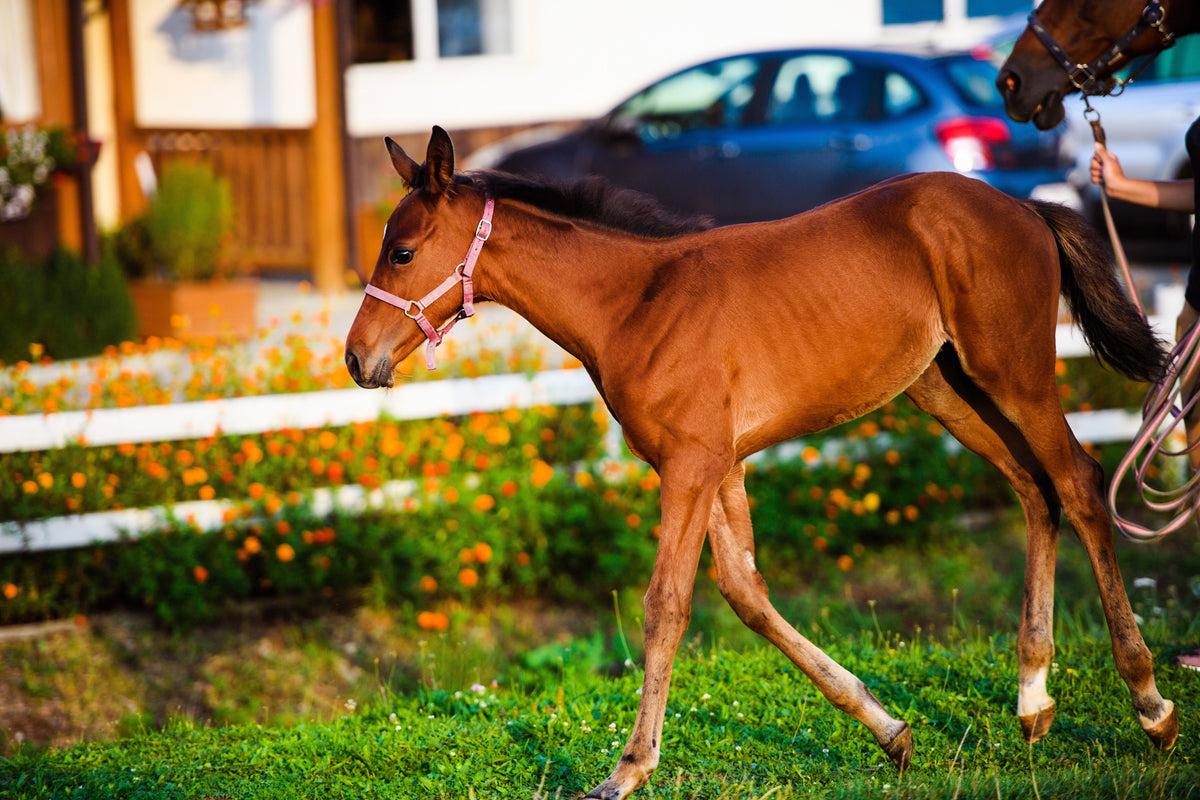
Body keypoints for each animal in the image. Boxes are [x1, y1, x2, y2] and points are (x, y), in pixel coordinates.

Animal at [345, 126, 1179, 800]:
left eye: (404, 250)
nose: (356, 359)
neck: (635, 303)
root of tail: (1021, 206)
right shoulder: (713, 464)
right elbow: (744, 594)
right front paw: (889, 729)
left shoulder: (691, 465)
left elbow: (666, 604)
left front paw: (628, 769)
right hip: (946, 388)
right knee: (1035, 490)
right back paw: (1033, 698)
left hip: (1016, 373)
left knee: (1077, 483)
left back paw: (1150, 704)